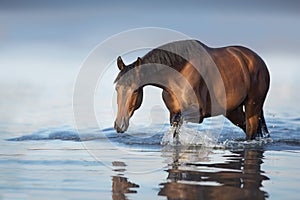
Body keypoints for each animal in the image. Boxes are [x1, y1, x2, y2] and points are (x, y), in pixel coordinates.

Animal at [113, 39, 270, 140]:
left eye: (134, 90)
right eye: (117, 88)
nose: (119, 125)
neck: (179, 72)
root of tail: (258, 61)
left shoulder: (196, 113)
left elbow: (177, 126)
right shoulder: (173, 112)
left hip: (253, 107)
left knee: (251, 131)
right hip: (233, 111)